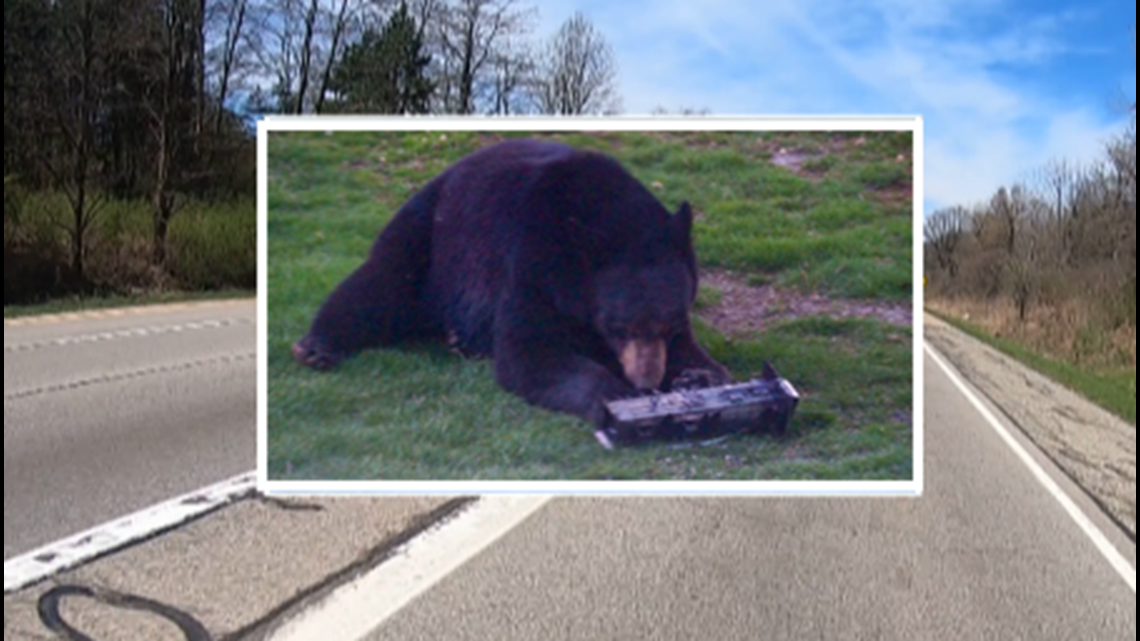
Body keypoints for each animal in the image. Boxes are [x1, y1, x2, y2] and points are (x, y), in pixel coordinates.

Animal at [294, 136, 729, 424]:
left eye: (669, 324)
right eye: (618, 326)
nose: (645, 381)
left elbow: (693, 351)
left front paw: (700, 375)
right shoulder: (530, 263)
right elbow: (528, 351)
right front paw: (612, 393)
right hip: (431, 232)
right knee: (381, 282)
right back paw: (316, 346)